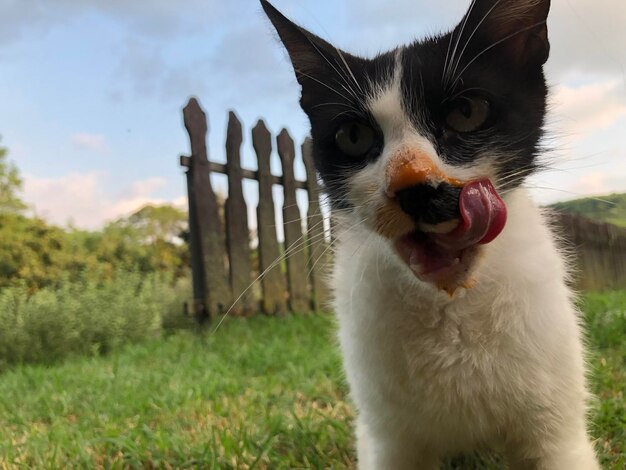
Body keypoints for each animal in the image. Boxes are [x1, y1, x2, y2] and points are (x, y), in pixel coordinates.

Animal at [260, 1, 600, 468]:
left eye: (466, 113)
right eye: (353, 135)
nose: (413, 186)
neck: (450, 304)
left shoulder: (558, 430)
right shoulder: (385, 436)